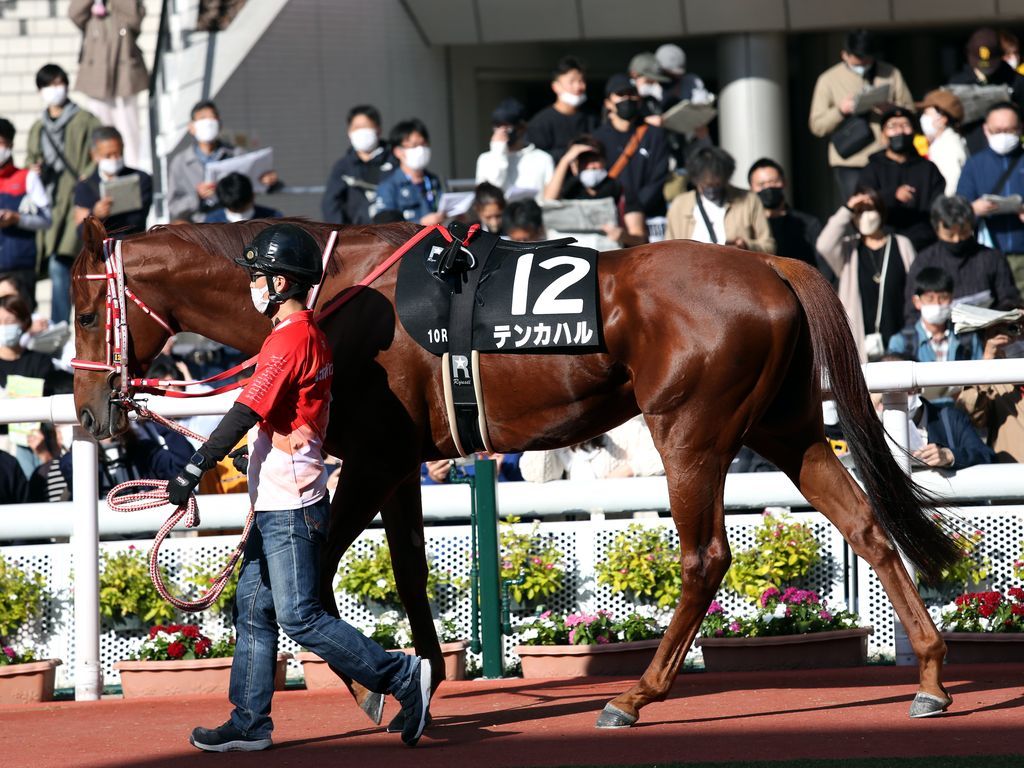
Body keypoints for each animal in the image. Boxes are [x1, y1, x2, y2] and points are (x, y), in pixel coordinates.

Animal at [71, 216, 961, 727]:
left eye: (83, 310)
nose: (87, 415)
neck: (339, 295)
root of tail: (773, 267)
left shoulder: (372, 458)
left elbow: (314, 580)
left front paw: (378, 685)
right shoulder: (399, 463)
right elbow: (409, 571)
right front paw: (419, 677)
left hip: (693, 435)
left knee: (705, 557)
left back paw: (634, 696)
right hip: (788, 428)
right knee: (868, 526)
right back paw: (929, 674)